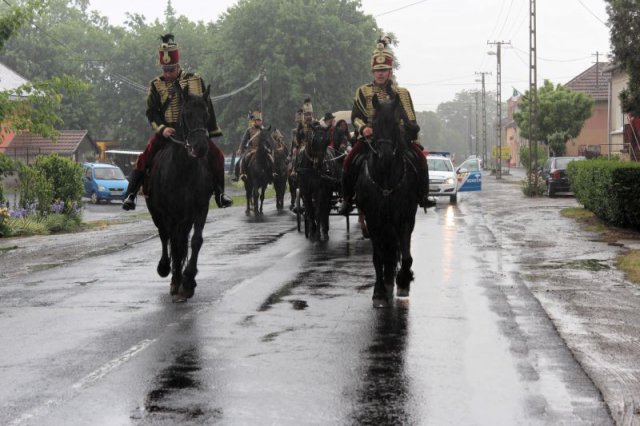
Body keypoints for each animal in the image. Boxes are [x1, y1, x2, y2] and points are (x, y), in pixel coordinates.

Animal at [144, 85, 215, 302]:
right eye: (187, 114)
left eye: (206, 114)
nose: (200, 147)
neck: (183, 170)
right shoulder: (168, 212)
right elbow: (172, 241)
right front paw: (176, 279)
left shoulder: (200, 209)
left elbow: (196, 240)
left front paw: (188, 279)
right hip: (158, 213)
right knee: (166, 236)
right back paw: (167, 270)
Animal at [352, 95, 418, 308]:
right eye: (375, 124)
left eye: (396, 123)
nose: (386, 156)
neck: (386, 177)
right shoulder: (374, 219)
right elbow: (378, 256)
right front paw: (379, 292)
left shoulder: (405, 218)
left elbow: (406, 256)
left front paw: (404, 280)